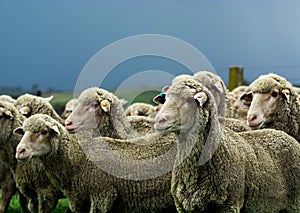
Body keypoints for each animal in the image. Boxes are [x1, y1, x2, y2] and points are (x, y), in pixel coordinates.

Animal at [14, 114, 178, 213]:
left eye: (44, 131)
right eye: (23, 131)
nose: (20, 151)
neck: (78, 160)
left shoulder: (102, 195)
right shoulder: (78, 201)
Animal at [154, 78, 300, 213]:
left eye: (189, 100)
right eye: (166, 99)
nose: (158, 120)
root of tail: (283, 134)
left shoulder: (229, 205)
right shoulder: (183, 207)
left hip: (295, 204)